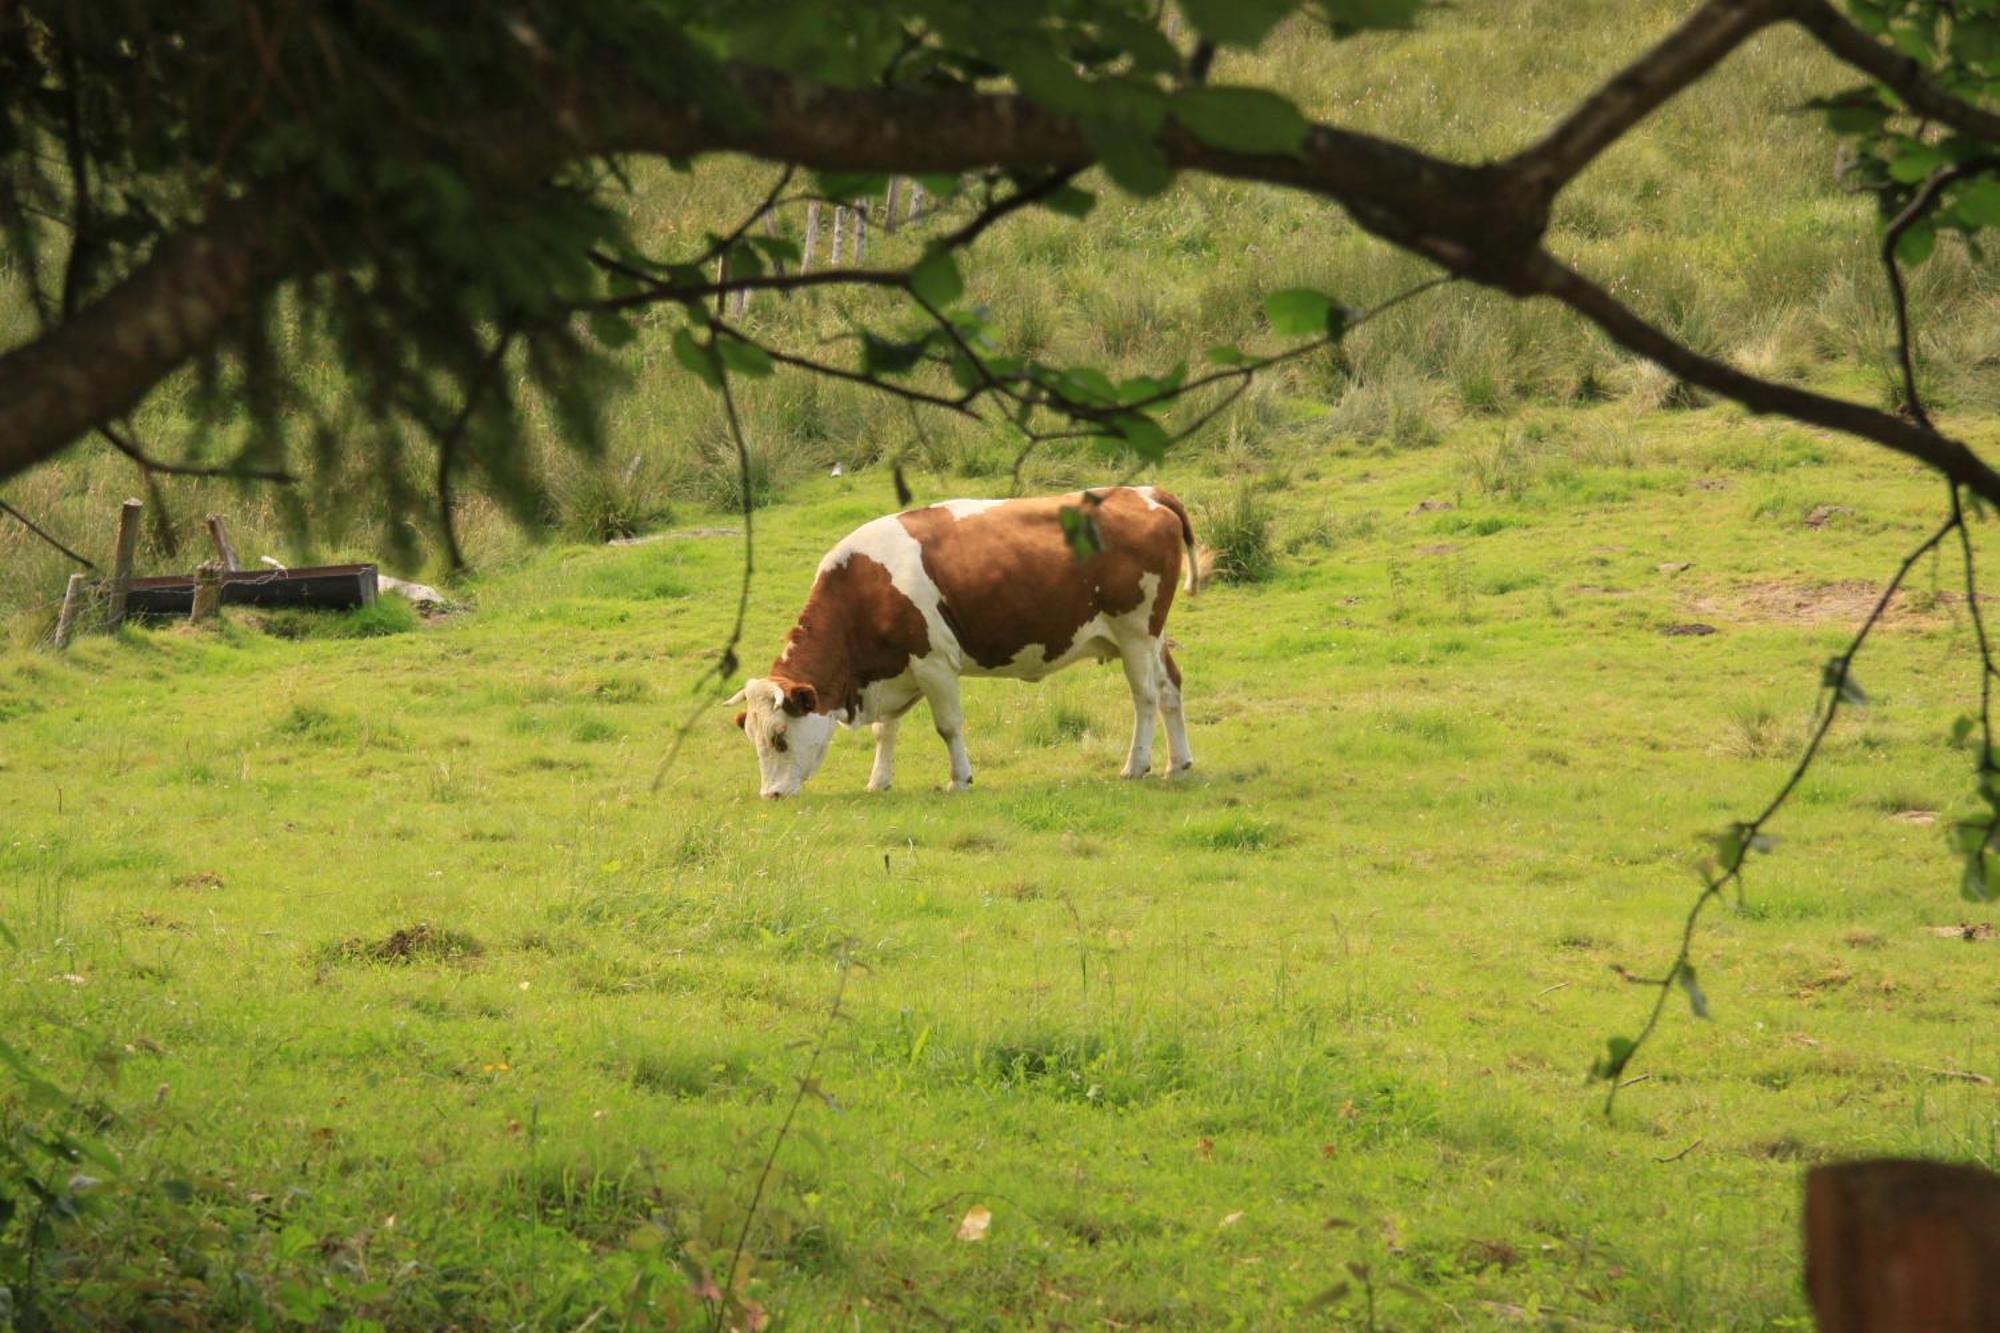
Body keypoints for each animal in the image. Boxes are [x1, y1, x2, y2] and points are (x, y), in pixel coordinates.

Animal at [736, 488, 1200, 800]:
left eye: (779, 737)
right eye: (751, 736)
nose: (771, 794)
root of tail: (1143, 492)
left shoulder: (934, 663)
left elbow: (948, 725)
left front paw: (959, 778)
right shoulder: (894, 668)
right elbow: (886, 729)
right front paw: (878, 780)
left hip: (1135, 633)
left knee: (1145, 697)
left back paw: (1136, 765)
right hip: (1152, 636)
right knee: (1170, 689)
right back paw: (1177, 764)